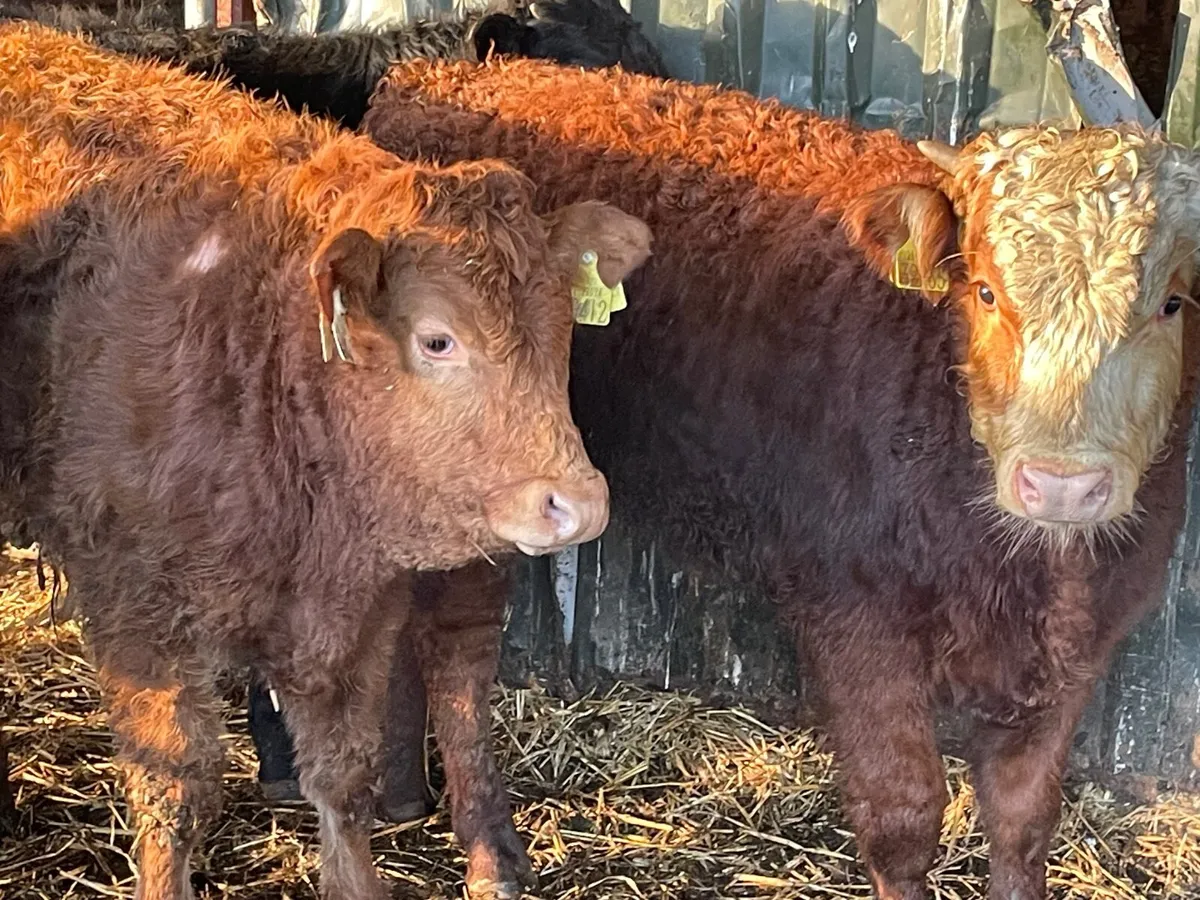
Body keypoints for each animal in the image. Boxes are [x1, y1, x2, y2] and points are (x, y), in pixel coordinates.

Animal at [0, 25, 651, 900]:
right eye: (437, 339)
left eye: (562, 328)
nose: (578, 503)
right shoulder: (132, 603)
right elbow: (174, 785)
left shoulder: (356, 610)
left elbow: (343, 778)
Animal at [314, 57, 1196, 900]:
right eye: (983, 290)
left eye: (1173, 304)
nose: (1061, 483)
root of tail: (439, 73)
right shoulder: (856, 616)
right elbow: (904, 814)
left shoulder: (1082, 646)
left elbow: (1023, 821)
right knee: (457, 656)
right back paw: (487, 851)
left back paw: (402, 790)